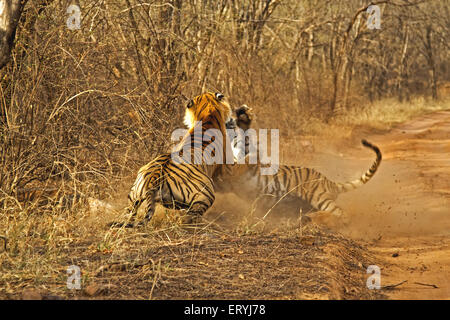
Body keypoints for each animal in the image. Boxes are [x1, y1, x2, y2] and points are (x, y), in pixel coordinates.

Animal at [111, 92, 232, 228]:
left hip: (133, 197)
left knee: (128, 215)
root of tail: (154, 177)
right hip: (206, 195)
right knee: (188, 218)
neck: (208, 113)